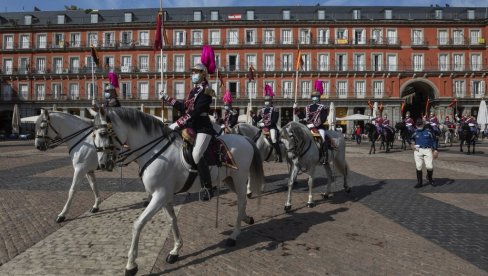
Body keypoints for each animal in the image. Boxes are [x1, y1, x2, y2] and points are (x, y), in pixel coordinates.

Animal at [88, 107, 264, 274]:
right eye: (92, 135)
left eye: (103, 133)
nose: (102, 164)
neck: (156, 151)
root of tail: (244, 139)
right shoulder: (164, 196)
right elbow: (172, 220)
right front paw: (176, 250)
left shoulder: (159, 195)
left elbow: (138, 224)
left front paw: (131, 265)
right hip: (230, 180)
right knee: (242, 202)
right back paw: (246, 219)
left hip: (240, 179)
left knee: (241, 201)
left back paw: (234, 236)